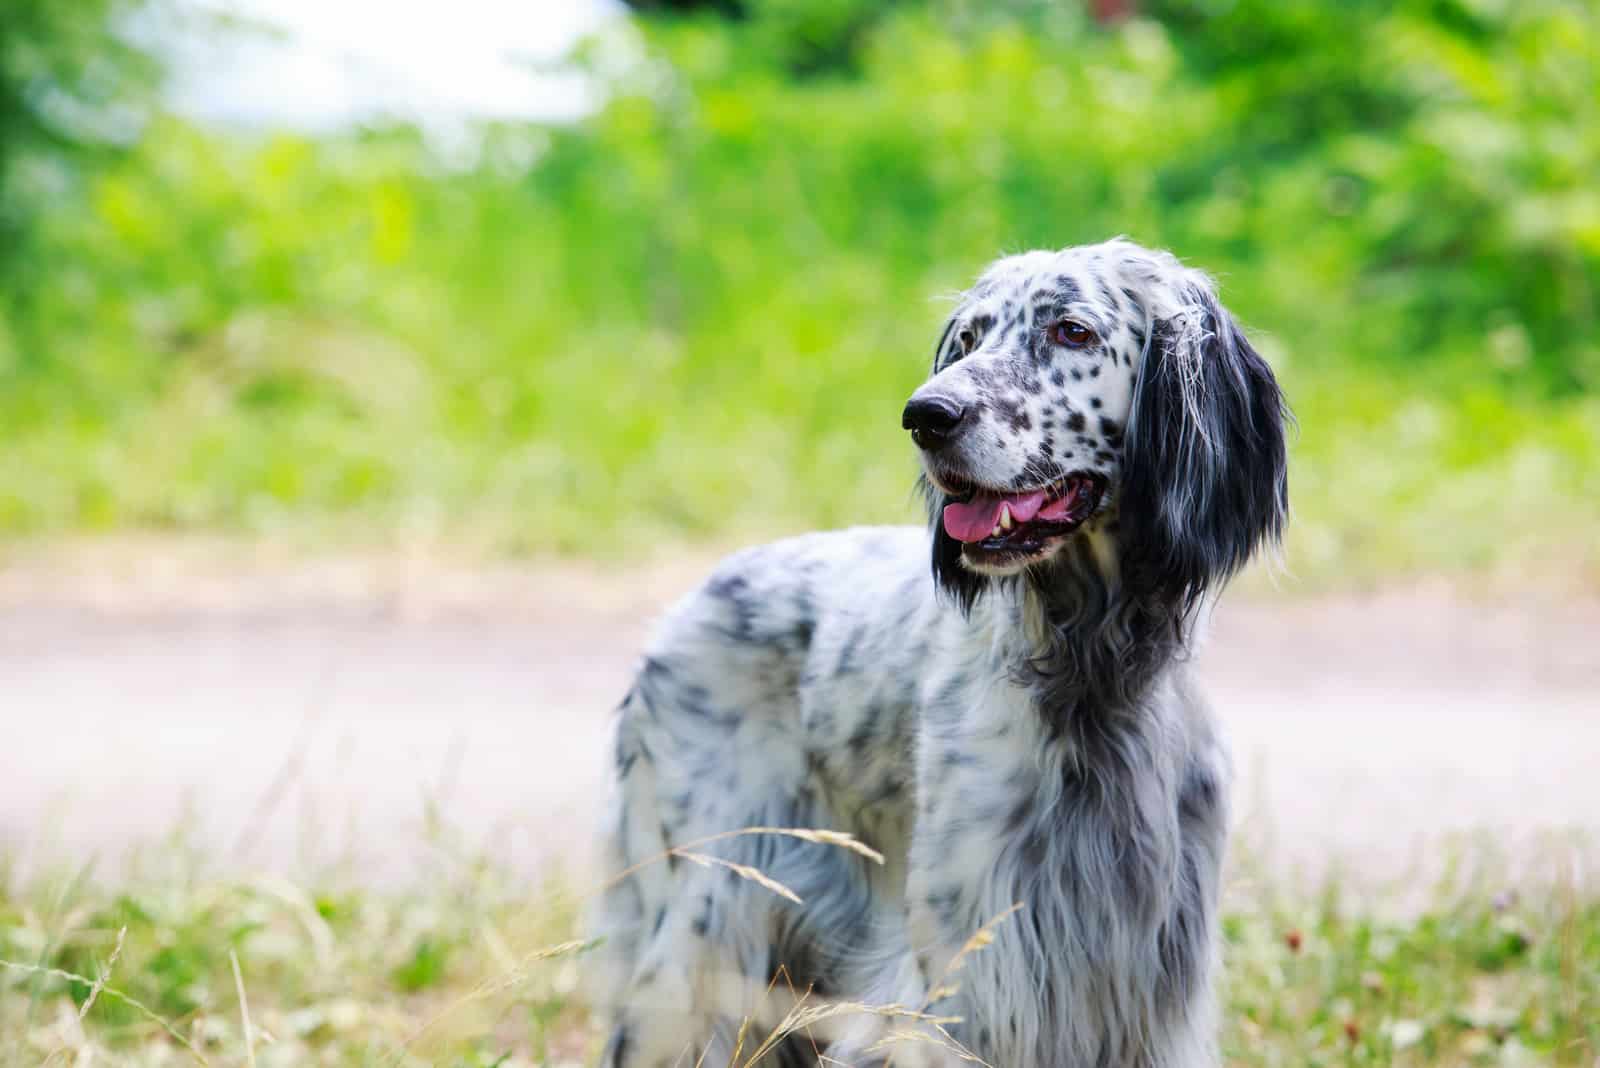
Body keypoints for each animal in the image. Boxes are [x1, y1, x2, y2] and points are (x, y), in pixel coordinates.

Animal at [588, 241, 1286, 1068]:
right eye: (969, 338)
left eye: (1072, 331)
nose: (925, 415)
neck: (1088, 674)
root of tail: (678, 612)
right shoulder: (965, 986)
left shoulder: (1152, 996)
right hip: (695, 943)